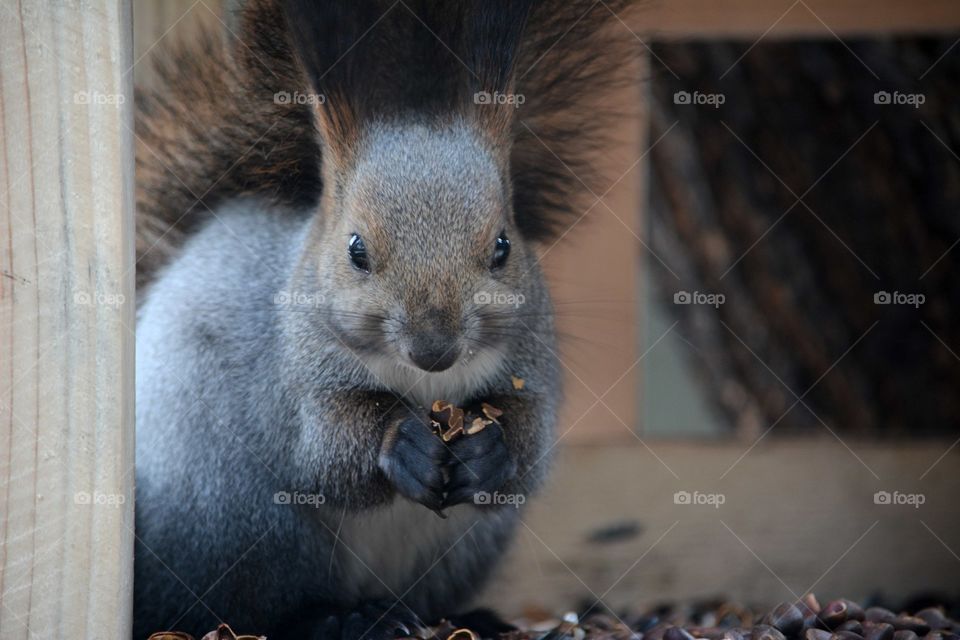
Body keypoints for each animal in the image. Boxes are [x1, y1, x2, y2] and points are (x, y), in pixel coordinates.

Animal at [133, 1, 635, 638]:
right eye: (356, 250)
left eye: (503, 246)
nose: (434, 347)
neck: (424, 384)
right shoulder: (296, 375)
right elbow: (328, 452)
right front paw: (402, 442)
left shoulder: (531, 360)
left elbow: (532, 444)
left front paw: (491, 451)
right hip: (242, 520)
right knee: (255, 607)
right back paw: (341, 616)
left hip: (466, 546)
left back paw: (462, 615)